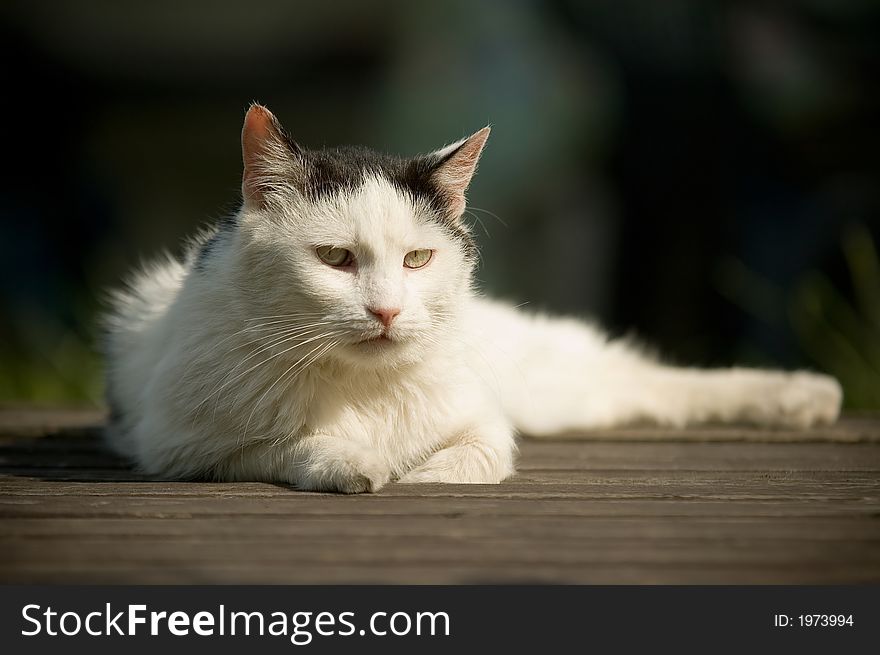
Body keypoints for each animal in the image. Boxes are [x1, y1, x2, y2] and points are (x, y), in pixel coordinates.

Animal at [103, 104, 844, 492]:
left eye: (418, 258)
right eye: (336, 259)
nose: (387, 310)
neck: (365, 388)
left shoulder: (484, 422)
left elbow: (473, 461)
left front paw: (416, 475)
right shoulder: (180, 446)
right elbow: (286, 445)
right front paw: (355, 461)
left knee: (648, 376)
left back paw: (804, 395)